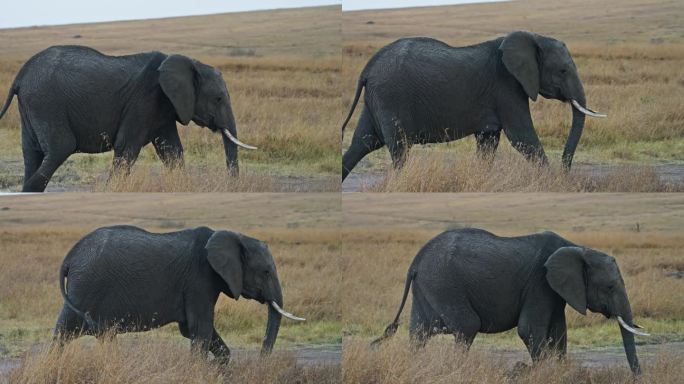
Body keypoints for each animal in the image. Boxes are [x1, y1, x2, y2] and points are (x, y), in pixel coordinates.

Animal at [0, 45, 255, 192]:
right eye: (219, 98)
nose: (232, 185)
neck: (191, 63)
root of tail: (20, 77)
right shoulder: (145, 99)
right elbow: (127, 147)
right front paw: (111, 190)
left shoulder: (163, 107)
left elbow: (171, 150)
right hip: (46, 103)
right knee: (60, 148)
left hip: (32, 106)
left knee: (32, 153)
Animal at [54, 225, 306, 360]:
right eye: (265, 272)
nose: (262, 360)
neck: (234, 237)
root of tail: (69, 257)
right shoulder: (199, 280)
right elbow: (200, 329)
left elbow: (194, 330)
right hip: (85, 286)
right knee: (65, 330)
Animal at [340, 30, 604, 182]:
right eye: (563, 71)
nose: (566, 173)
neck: (534, 39)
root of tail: (367, 68)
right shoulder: (507, 87)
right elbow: (522, 136)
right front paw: (553, 183)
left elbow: (489, 142)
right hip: (390, 97)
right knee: (399, 149)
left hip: (376, 100)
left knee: (362, 143)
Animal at [376, 228, 648, 376]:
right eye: (610, 287)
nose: (638, 376)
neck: (579, 248)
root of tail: (415, 262)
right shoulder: (539, 283)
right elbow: (529, 330)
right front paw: (539, 373)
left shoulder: (555, 290)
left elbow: (559, 332)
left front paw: (559, 371)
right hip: (444, 283)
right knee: (466, 326)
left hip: (429, 287)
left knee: (419, 332)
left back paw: (416, 365)